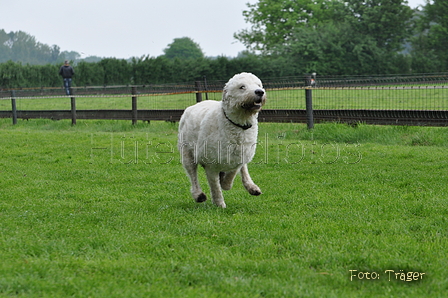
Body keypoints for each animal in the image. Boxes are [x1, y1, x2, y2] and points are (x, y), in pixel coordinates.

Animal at [178, 73, 266, 207]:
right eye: (242, 87)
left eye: (259, 85)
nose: (260, 92)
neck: (237, 125)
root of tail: (194, 105)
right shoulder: (211, 164)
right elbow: (215, 187)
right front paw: (220, 204)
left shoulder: (240, 155)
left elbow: (234, 171)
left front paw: (226, 183)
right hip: (187, 153)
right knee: (193, 175)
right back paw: (198, 195)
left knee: (243, 169)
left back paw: (251, 187)